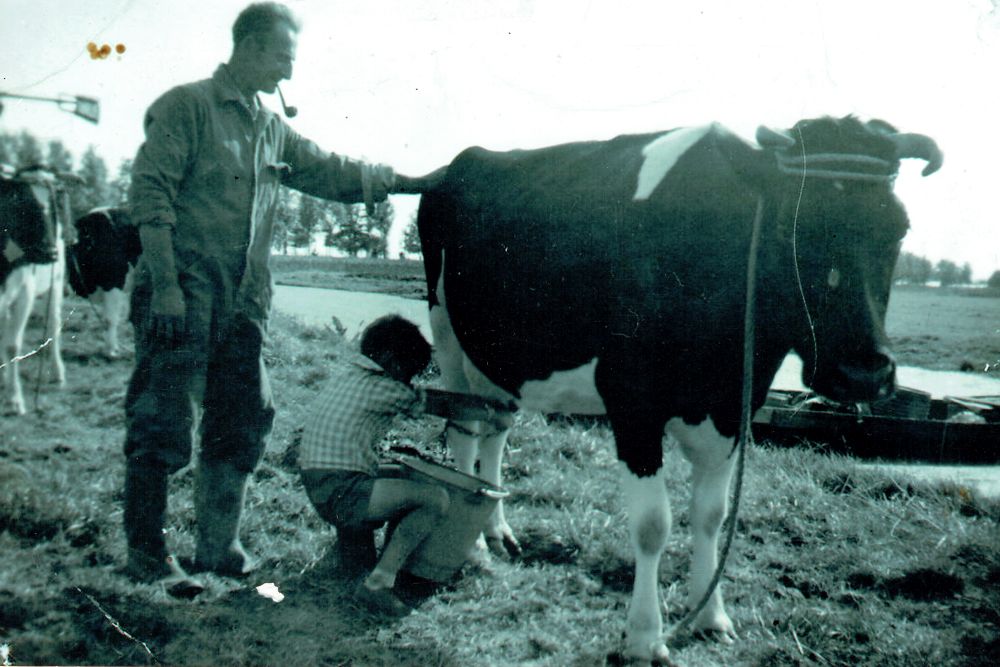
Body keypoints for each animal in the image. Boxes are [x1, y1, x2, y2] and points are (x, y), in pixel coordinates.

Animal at [394, 116, 940, 664]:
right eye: (793, 224)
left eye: (899, 229)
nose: (863, 374)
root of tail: (459, 163)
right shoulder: (632, 404)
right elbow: (653, 525)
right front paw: (644, 636)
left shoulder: (735, 407)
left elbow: (712, 516)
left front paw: (710, 616)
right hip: (447, 334)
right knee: (464, 431)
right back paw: (474, 545)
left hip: (501, 358)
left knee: (496, 432)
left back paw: (497, 530)